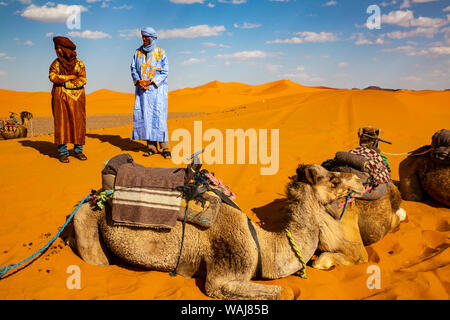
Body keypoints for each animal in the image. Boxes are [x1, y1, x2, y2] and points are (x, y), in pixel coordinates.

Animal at [71, 165, 372, 300]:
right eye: (333, 179)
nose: (362, 180)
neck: (264, 245)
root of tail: (95, 195)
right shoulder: (224, 272)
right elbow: (285, 291)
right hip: (87, 221)